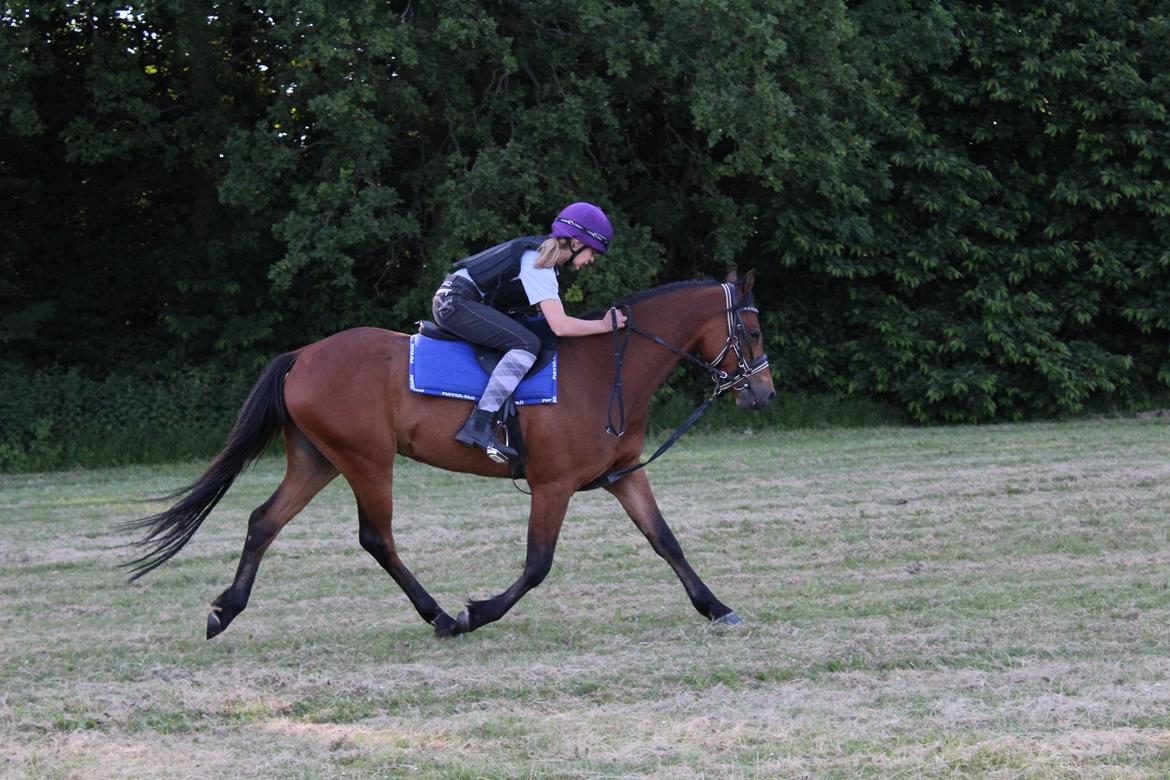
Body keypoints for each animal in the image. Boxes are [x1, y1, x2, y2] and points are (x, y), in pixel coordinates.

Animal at [123, 271, 772, 636]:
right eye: (753, 331)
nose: (763, 393)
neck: (606, 368)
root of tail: (303, 355)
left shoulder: (621, 477)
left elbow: (666, 541)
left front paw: (716, 607)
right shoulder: (553, 486)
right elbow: (537, 565)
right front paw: (477, 612)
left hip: (317, 460)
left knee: (263, 521)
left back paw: (224, 611)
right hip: (366, 462)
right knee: (376, 538)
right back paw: (438, 617)